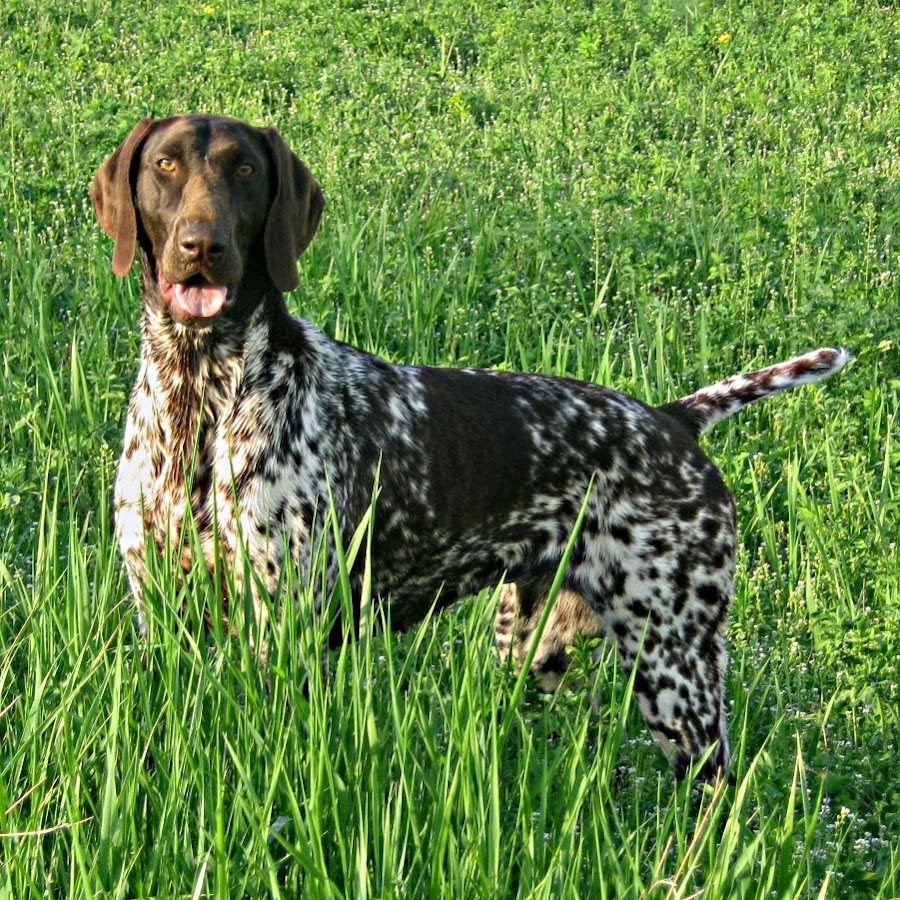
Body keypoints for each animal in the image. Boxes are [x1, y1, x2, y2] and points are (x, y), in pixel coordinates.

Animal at [88, 116, 848, 780]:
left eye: (245, 170)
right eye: (165, 165)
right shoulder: (159, 618)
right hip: (535, 646)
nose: (202, 244)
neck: (199, 394)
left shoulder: (284, 633)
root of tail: (672, 421)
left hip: (675, 671)